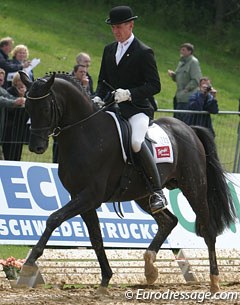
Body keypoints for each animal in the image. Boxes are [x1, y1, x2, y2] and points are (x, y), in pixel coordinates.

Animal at [18, 71, 234, 292]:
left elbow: (54, 218)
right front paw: (105, 280)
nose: (36, 147)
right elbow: (96, 239)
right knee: (169, 221)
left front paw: (29, 264)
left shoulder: (90, 196)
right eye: (27, 107)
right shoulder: (81, 197)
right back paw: (150, 268)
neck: (86, 133)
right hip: (144, 194)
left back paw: (214, 282)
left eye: (45, 108)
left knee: (208, 230)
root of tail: (189, 129)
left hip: (193, 186)